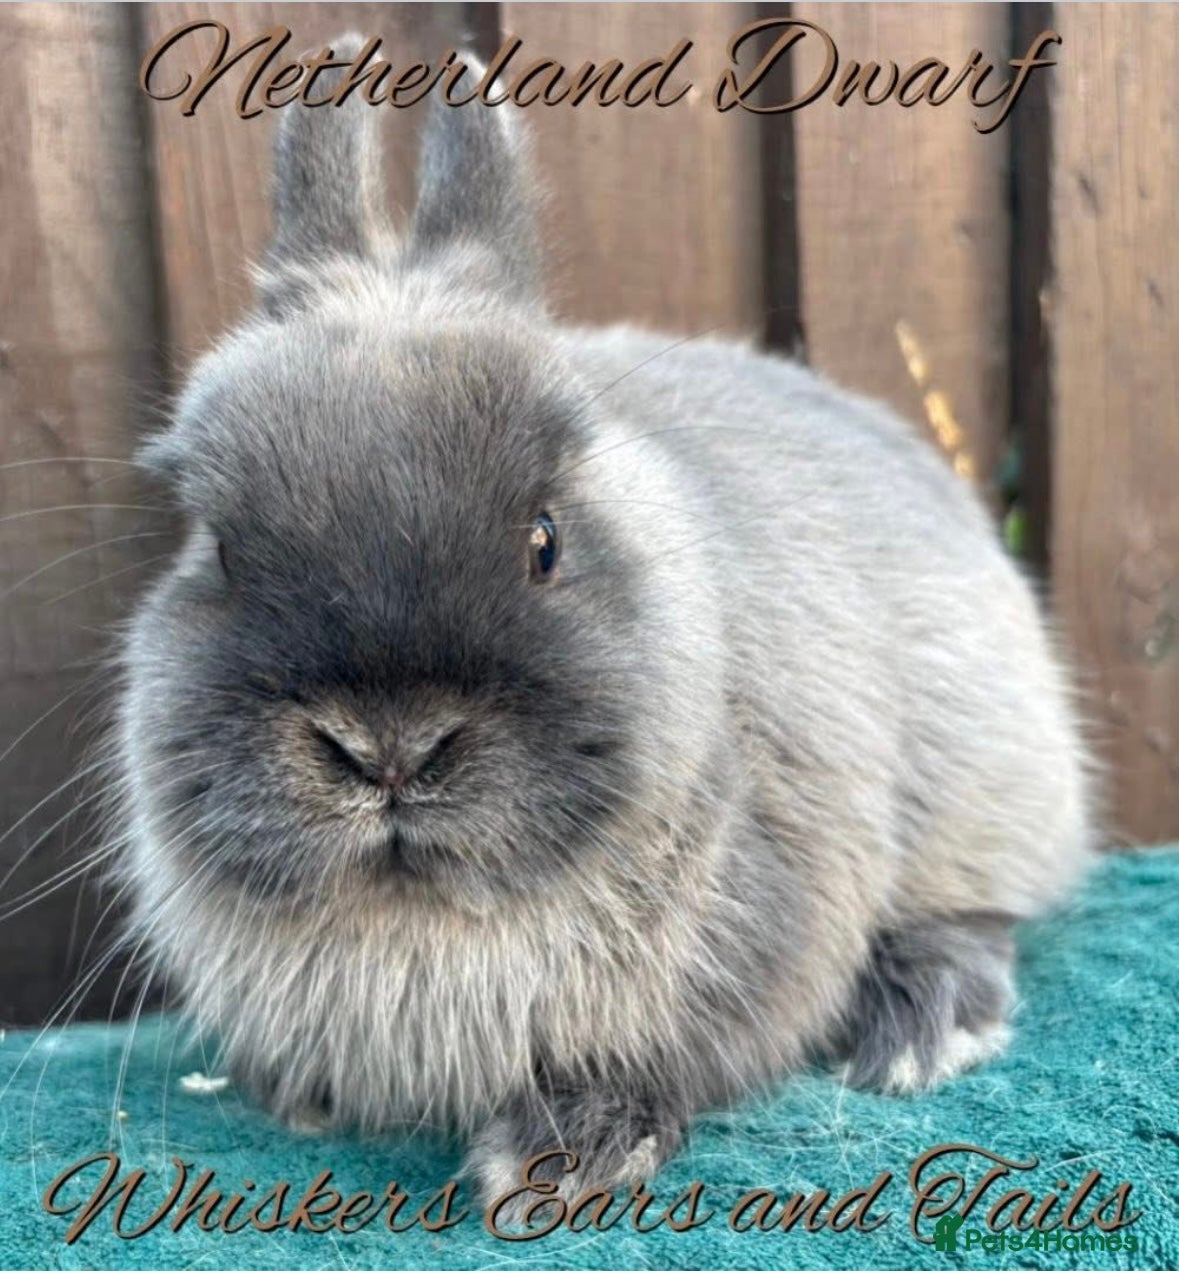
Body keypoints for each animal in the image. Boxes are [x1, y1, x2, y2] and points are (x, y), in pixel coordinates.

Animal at [115, 43, 1095, 1210]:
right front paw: (300, 1099)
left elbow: (681, 1048)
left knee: (981, 910)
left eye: (546, 538)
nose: (389, 751)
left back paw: (922, 1028)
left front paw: (559, 1154)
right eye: (221, 550)